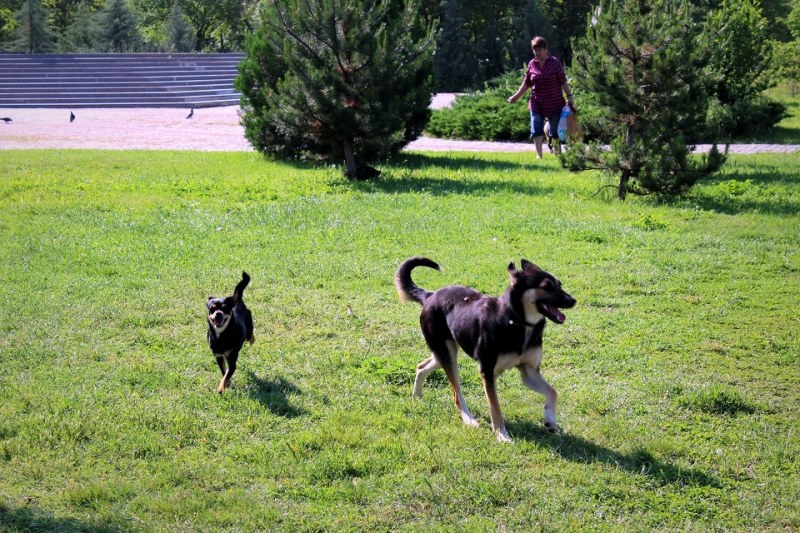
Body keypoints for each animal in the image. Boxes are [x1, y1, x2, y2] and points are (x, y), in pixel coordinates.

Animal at [396, 256, 576, 442]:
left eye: (559, 284)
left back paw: (417, 396)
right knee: (456, 394)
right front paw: (502, 434)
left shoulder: (529, 371)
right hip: (447, 355)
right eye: (546, 286)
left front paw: (550, 420)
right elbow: (495, 407)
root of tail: (430, 295)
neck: (517, 321)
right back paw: (469, 419)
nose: (573, 301)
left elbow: (553, 392)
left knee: (421, 367)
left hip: (444, 352)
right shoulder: (487, 371)